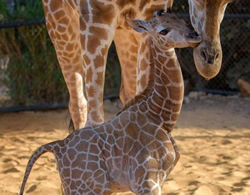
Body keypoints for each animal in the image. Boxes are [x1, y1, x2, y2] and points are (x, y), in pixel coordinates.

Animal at [19, 10, 201, 195]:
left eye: (183, 20)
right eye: (163, 30)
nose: (194, 36)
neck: (161, 116)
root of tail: (57, 146)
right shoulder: (147, 182)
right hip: (86, 189)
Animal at [42, 0, 231, 129]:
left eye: (227, 2)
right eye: (197, 1)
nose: (209, 63)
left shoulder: (148, 16)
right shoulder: (95, 20)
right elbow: (94, 118)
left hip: (125, 32)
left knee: (127, 94)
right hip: (59, 19)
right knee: (78, 104)